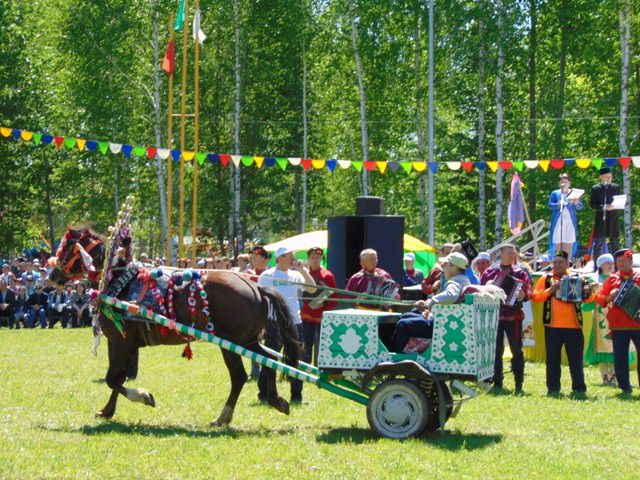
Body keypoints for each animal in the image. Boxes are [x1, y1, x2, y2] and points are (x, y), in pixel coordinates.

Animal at [49, 227, 300, 426]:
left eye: (66, 248)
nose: (53, 275)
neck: (119, 283)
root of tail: (256, 287)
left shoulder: (122, 343)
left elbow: (113, 378)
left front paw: (143, 397)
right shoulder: (121, 343)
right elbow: (117, 378)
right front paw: (107, 411)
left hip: (231, 344)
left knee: (239, 376)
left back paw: (223, 416)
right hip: (247, 341)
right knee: (270, 360)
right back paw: (276, 401)